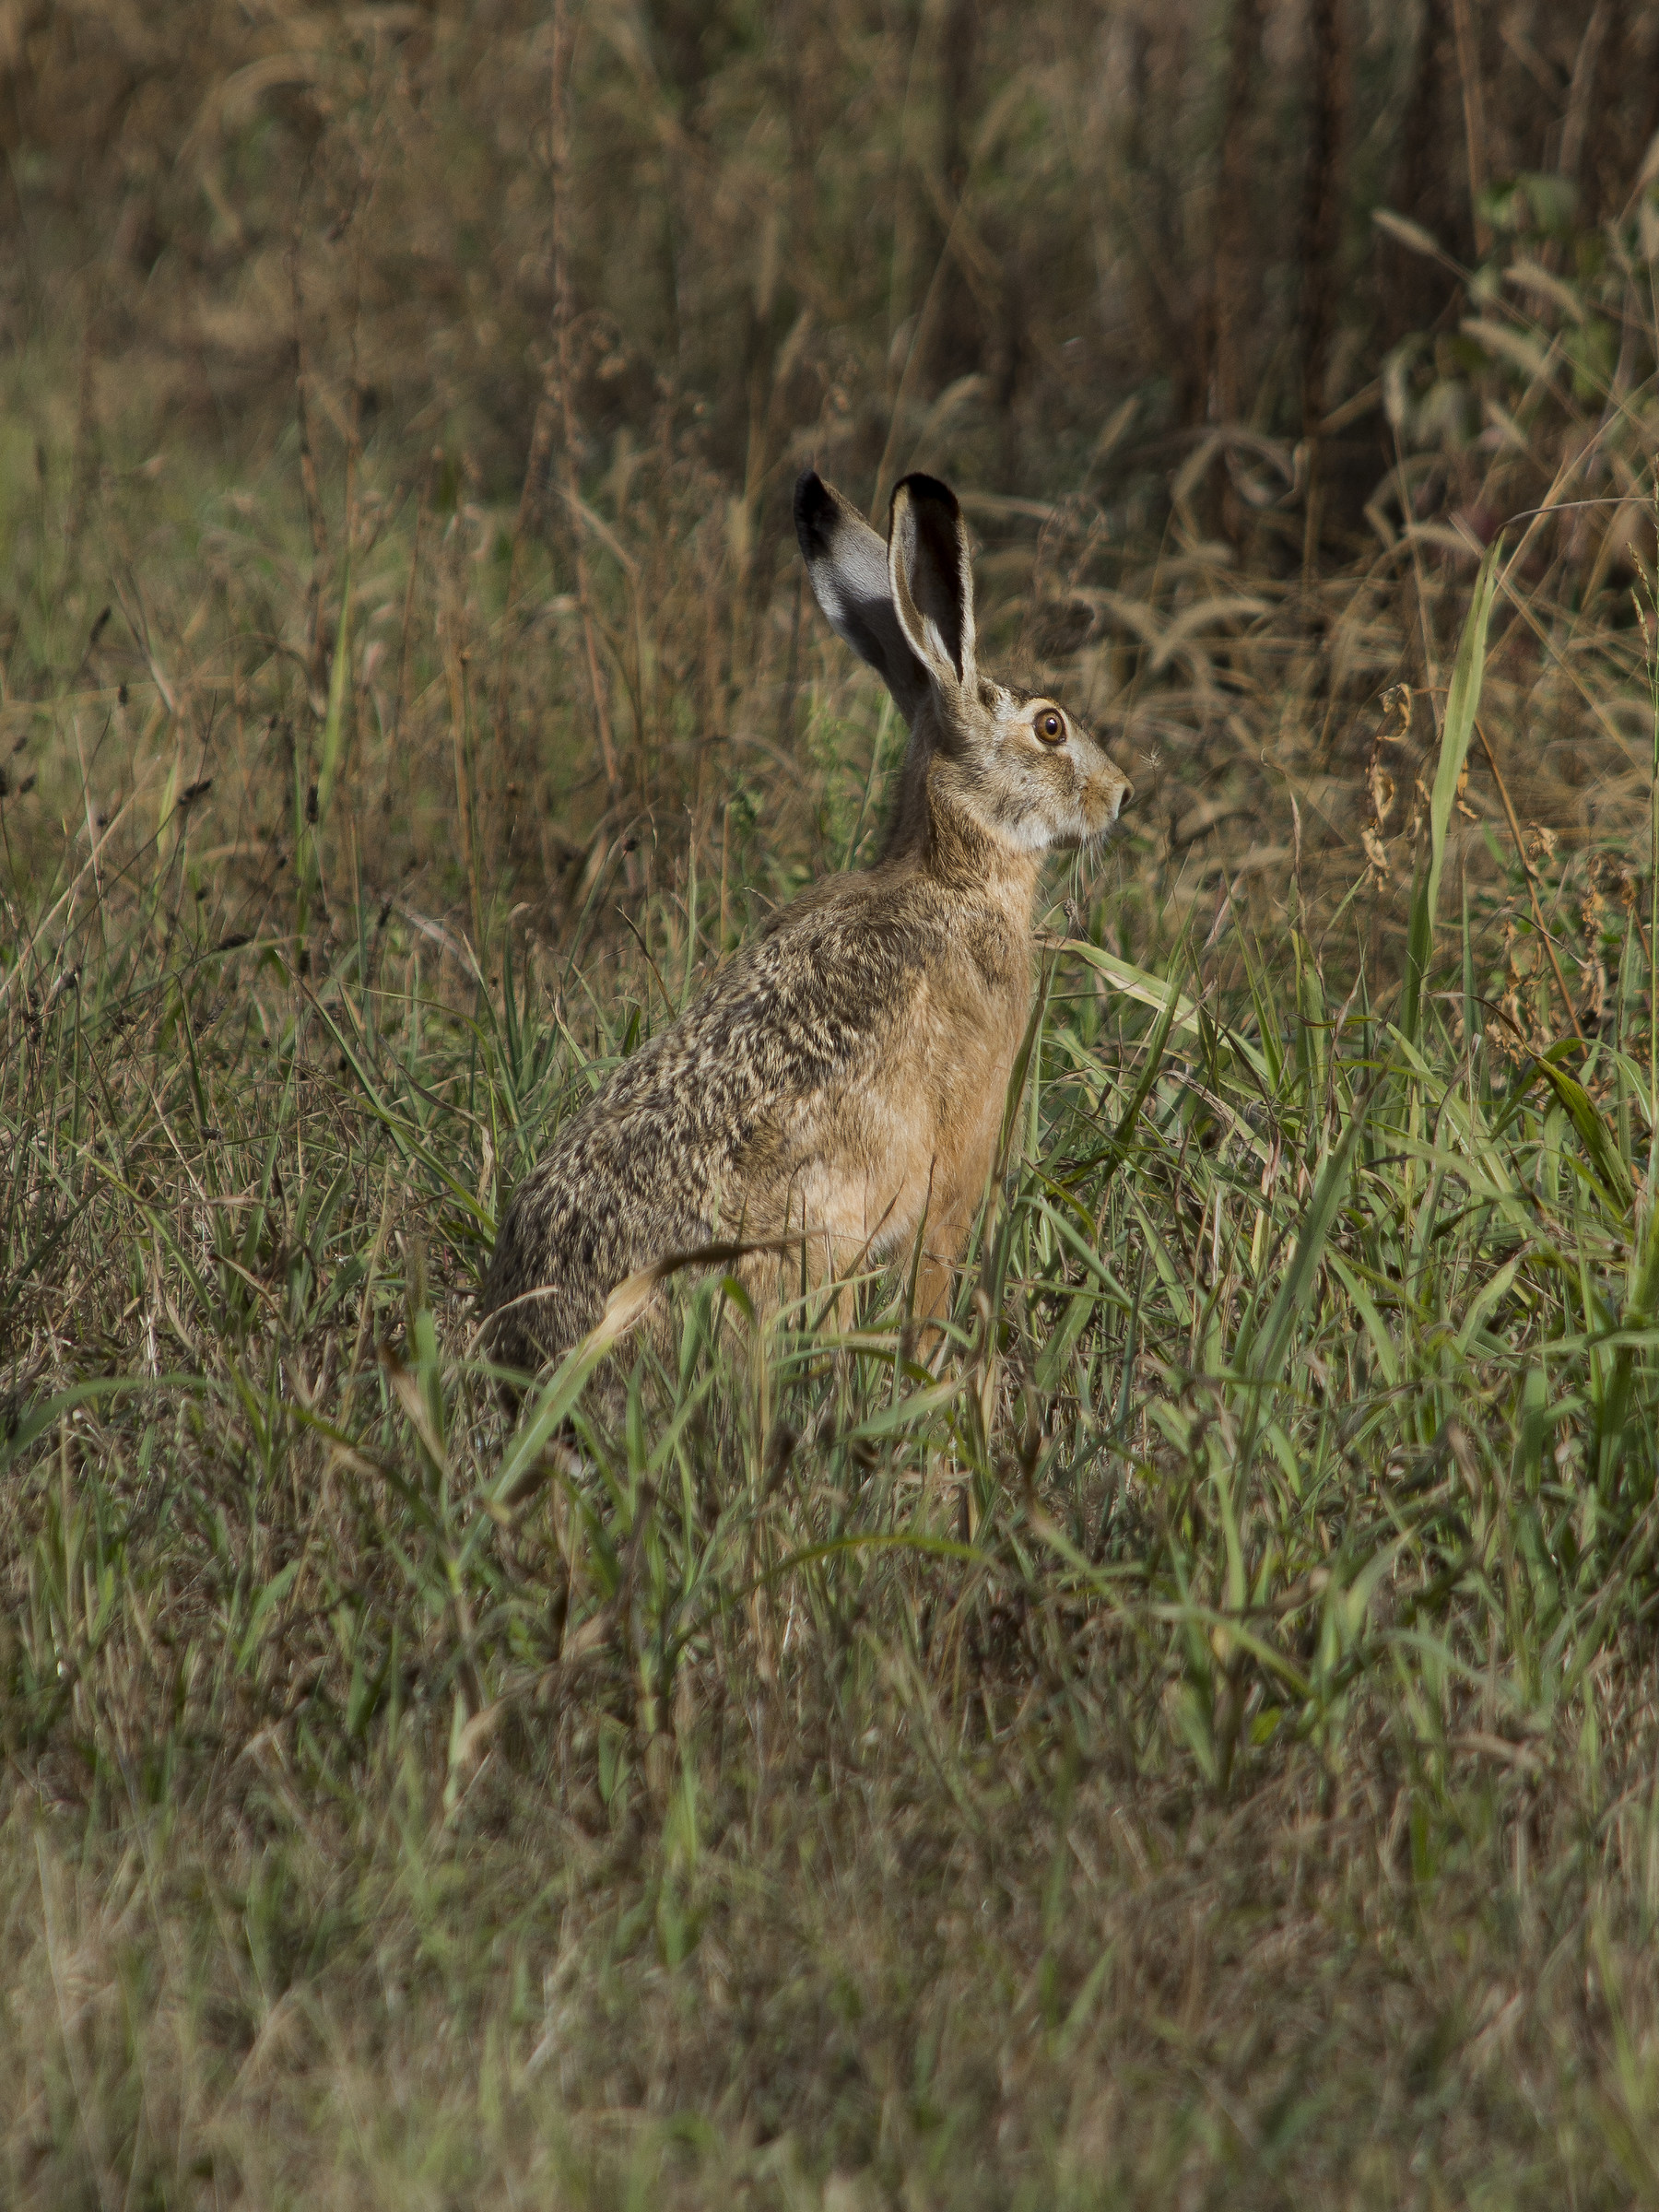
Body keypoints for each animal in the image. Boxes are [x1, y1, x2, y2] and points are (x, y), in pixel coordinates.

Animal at [479, 469, 1133, 1378]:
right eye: (1050, 727)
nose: (1122, 793)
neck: (953, 872)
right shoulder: (955, 1168)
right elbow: (934, 1277)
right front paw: (935, 1375)